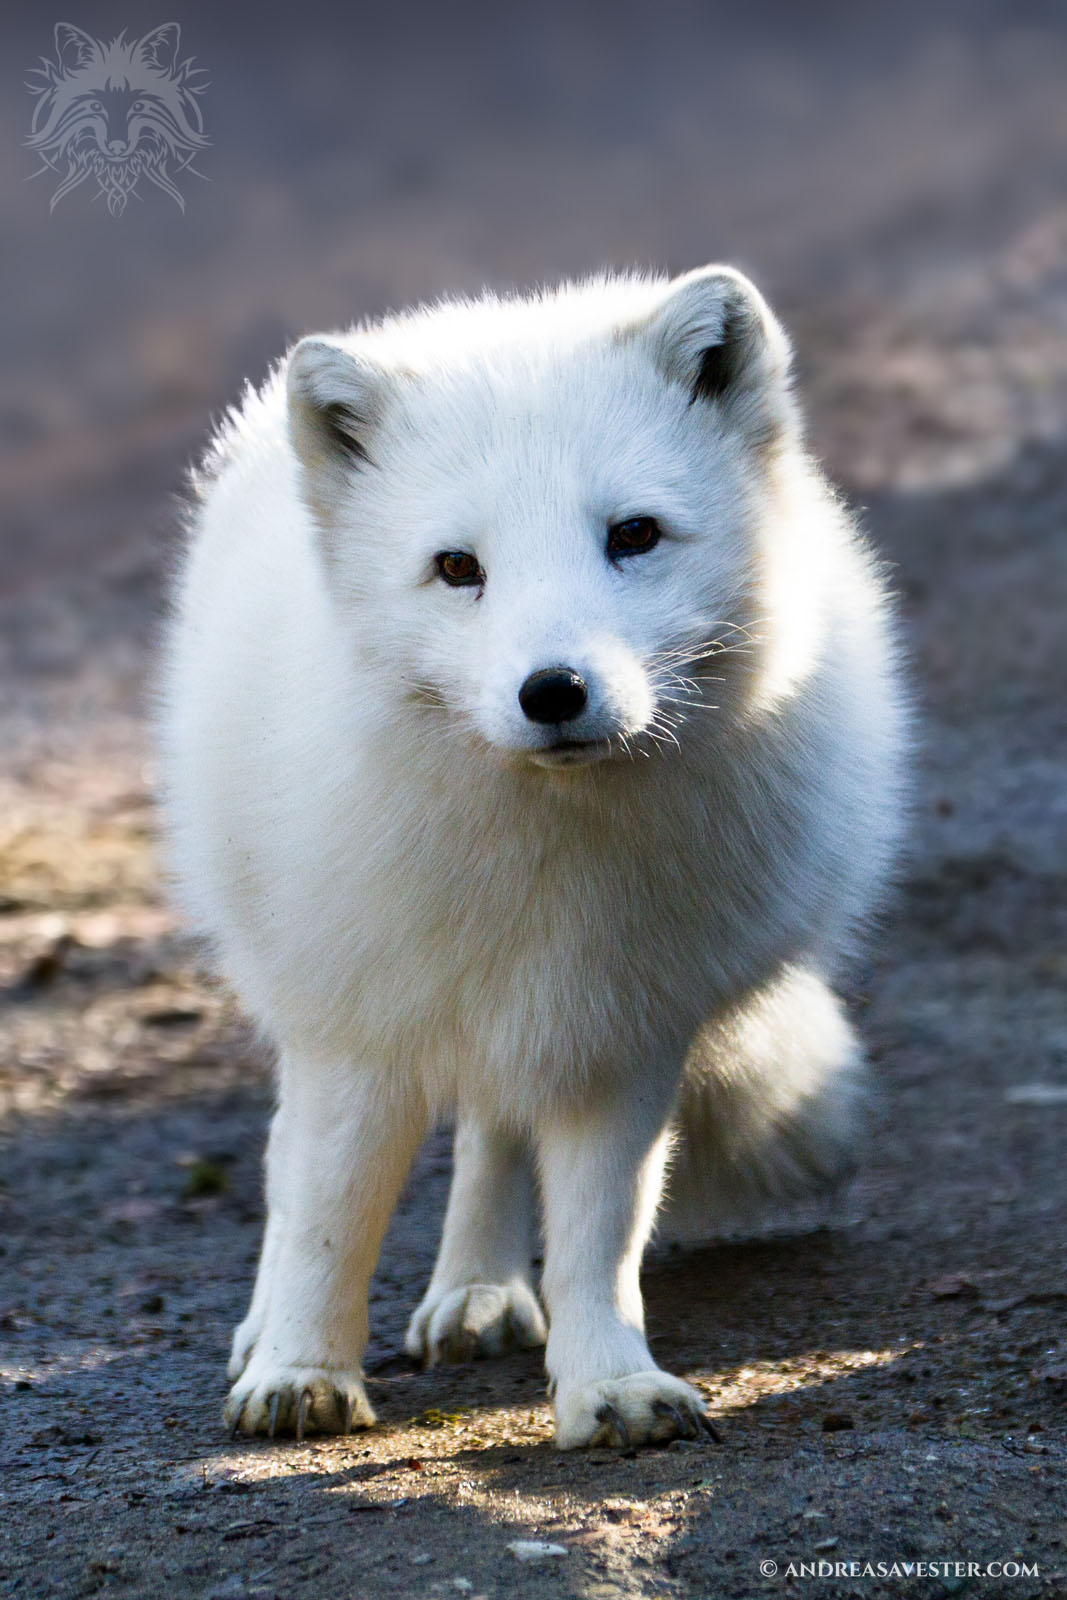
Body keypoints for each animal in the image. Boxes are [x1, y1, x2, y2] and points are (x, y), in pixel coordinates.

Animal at [163, 265, 908, 1452]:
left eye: (634, 535)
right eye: (456, 568)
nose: (553, 691)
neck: (543, 856)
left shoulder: (621, 1031)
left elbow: (600, 1236)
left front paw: (608, 1381)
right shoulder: (356, 1030)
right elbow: (328, 1213)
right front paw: (299, 1372)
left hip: (533, 1021)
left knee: (492, 1134)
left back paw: (477, 1288)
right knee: (305, 1164)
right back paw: (282, 1324)